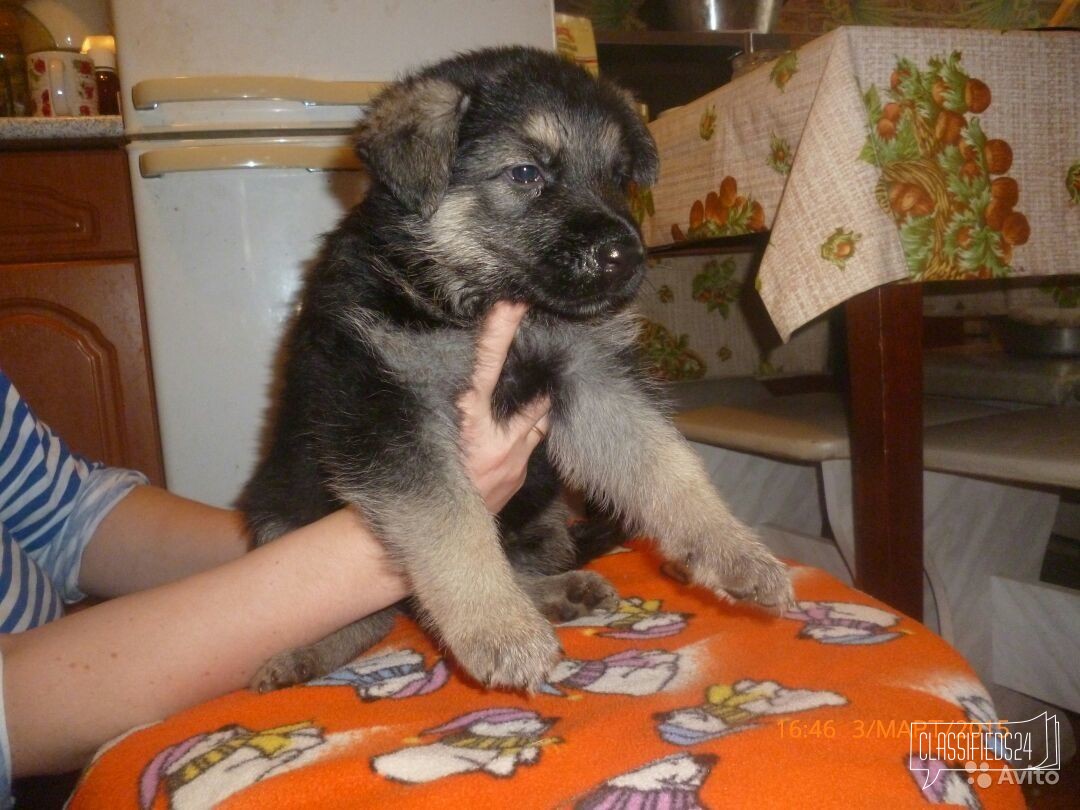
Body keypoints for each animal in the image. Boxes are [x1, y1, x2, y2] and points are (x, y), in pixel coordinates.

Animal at [240, 45, 794, 691]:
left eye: (617, 176)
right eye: (526, 174)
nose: (627, 256)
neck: (482, 297)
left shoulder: (593, 378)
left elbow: (668, 467)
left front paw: (735, 552)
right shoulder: (388, 406)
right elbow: (452, 521)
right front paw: (499, 631)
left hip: (542, 512)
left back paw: (556, 592)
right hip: (279, 515)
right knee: (375, 617)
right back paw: (303, 655)